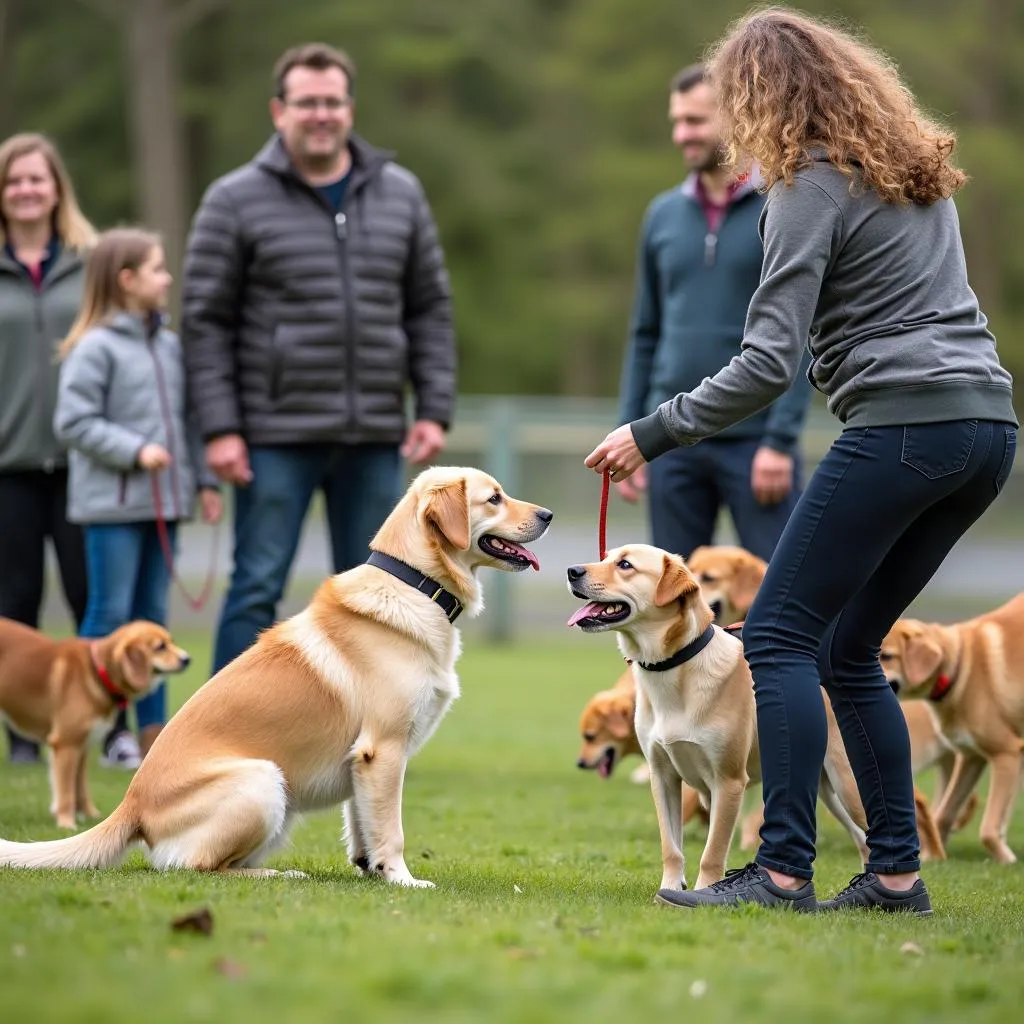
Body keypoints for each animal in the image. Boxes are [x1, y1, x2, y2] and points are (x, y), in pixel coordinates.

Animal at [0, 618, 191, 827]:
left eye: (171, 641)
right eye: (160, 647)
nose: (187, 659)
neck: (96, 672)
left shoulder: (82, 748)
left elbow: (81, 788)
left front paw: (90, 815)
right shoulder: (65, 745)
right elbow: (66, 792)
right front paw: (66, 822)